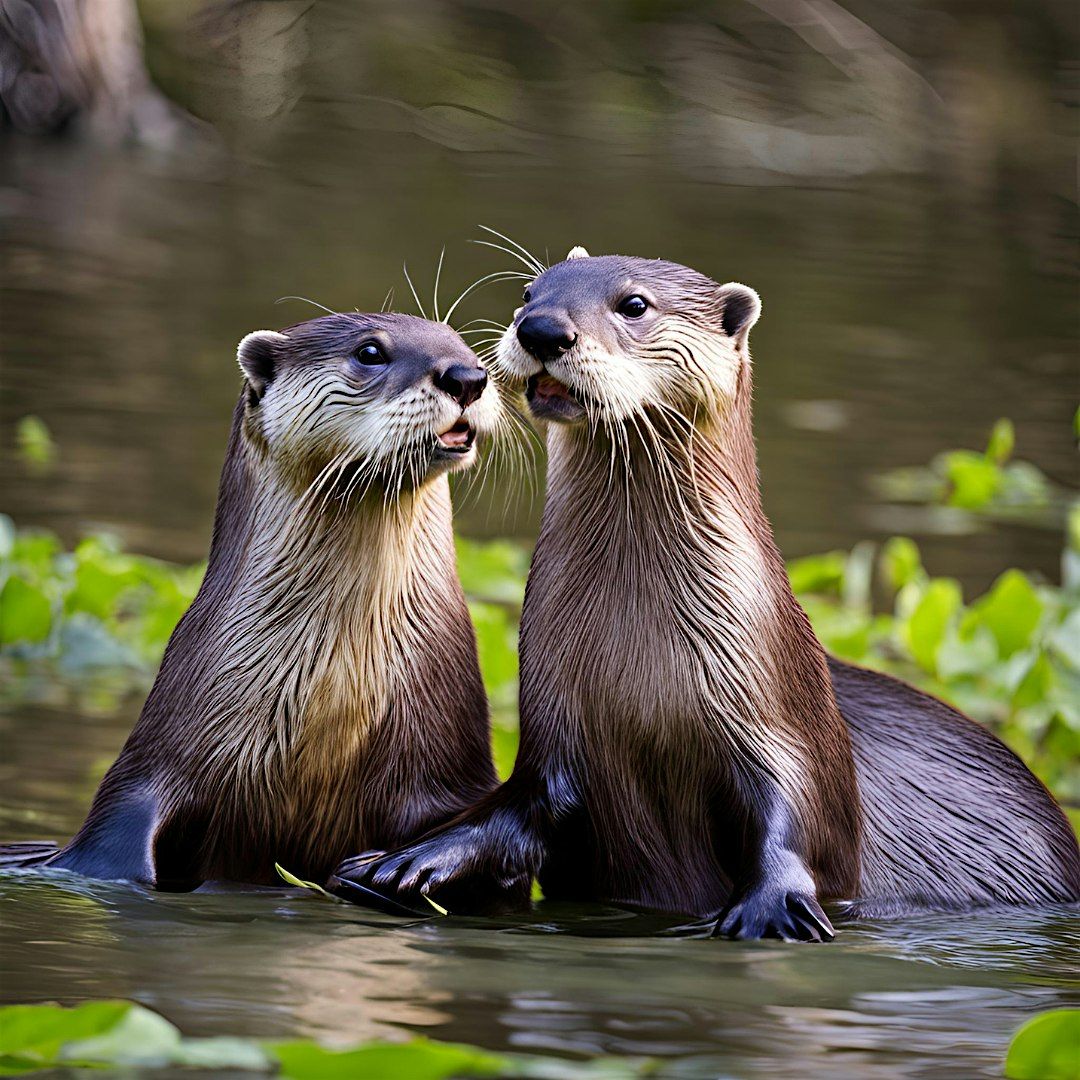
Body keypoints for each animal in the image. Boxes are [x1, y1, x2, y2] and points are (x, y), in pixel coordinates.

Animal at [0, 313, 509, 894]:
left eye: (464, 345)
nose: (466, 377)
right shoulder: (145, 779)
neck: (333, 692)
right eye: (370, 351)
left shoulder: (446, 769)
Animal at [332, 250, 1080, 937]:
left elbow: (799, 817)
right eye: (527, 292)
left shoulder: (779, 705)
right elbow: (518, 808)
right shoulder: (554, 724)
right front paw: (403, 860)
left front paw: (771, 907)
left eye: (634, 304)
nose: (542, 329)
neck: (643, 670)